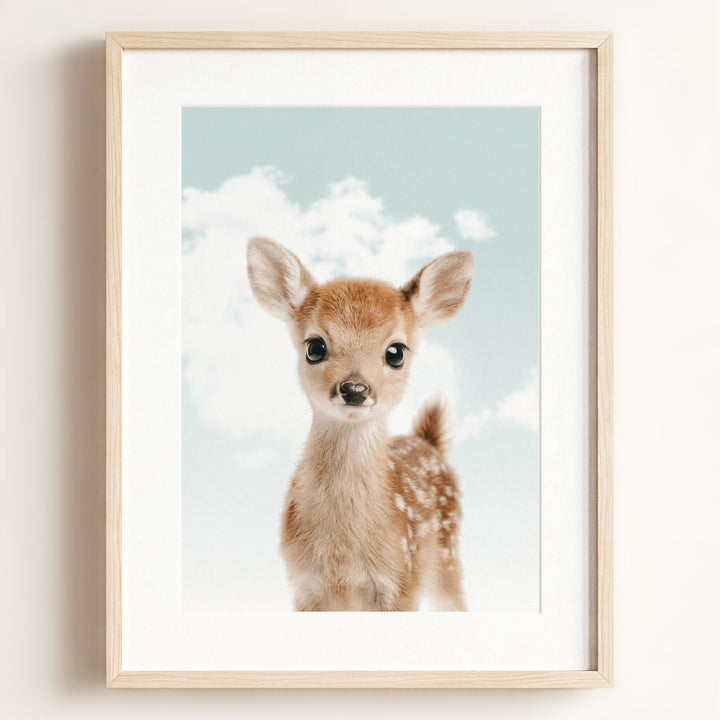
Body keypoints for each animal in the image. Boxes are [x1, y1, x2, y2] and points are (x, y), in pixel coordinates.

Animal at [246, 236, 474, 611]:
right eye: (315, 347)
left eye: (396, 352)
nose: (355, 389)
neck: (343, 557)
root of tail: (429, 441)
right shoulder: (304, 585)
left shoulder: (401, 582)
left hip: (447, 554)